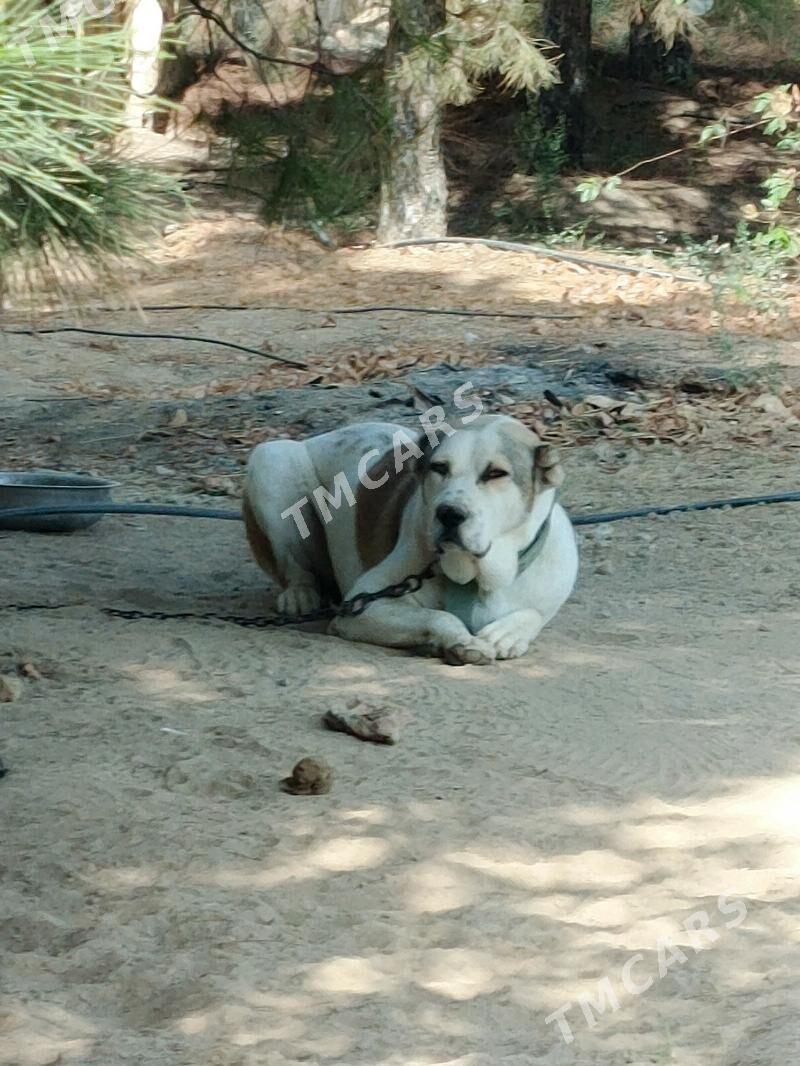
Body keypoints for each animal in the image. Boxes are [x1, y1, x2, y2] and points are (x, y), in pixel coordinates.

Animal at [241, 409, 580, 665]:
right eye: (439, 468)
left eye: (496, 473)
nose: (449, 514)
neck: (475, 581)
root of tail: (320, 437)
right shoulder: (362, 606)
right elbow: (438, 617)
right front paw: (460, 641)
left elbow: (533, 613)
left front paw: (505, 633)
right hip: (272, 460)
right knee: (295, 567)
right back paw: (301, 594)